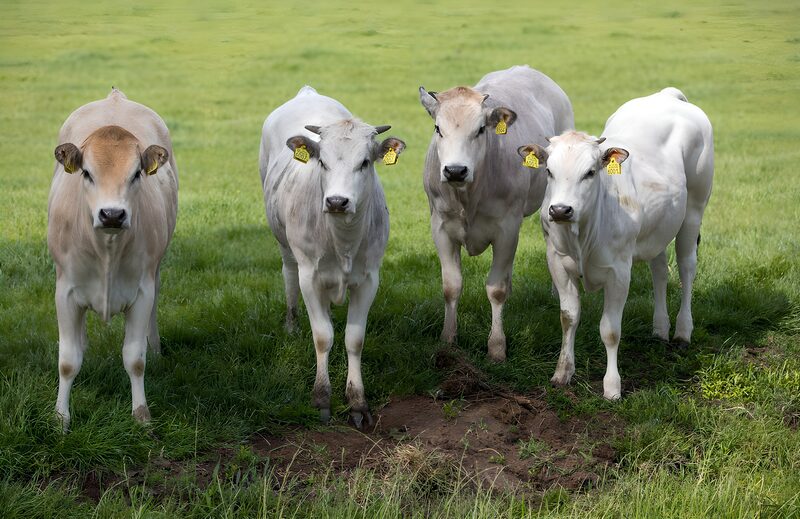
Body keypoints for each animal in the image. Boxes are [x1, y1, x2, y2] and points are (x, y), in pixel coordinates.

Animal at [48, 87, 178, 430]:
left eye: (136, 174)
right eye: (87, 173)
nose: (112, 214)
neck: (107, 248)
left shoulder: (142, 291)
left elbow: (134, 358)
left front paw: (142, 415)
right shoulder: (65, 291)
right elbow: (67, 362)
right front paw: (60, 418)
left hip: (156, 271)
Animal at [259, 86, 405, 428]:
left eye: (365, 162)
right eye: (322, 162)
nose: (337, 201)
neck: (343, 241)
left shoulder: (369, 279)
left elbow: (354, 338)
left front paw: (357, 402)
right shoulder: (310, 277)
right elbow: (323, 336)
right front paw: (322, 399)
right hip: (285, 248)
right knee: (288, 275)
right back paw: (291, 324)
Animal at [419, 65, 574, 362]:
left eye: (480, 129)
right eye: (437, 128)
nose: (455, 170)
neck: (468, 196)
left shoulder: (507, 229)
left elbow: (496, 290)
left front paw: (497, 347)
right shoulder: (440, 228)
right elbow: (451, 286)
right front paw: (448, 339)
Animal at [518, 87, 714, 400]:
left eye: (590, 172)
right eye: (548, 171)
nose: (560, 210)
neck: (582, 235)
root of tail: (667, 95)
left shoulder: (619, 272)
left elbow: (610, 330)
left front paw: (612, 387)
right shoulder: (557, 264)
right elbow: (568, 317)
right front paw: (563, 372)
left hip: (694, 209)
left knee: (686, 268)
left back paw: (682, 332)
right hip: (659, 228)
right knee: (660, 271)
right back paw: (660, 329)